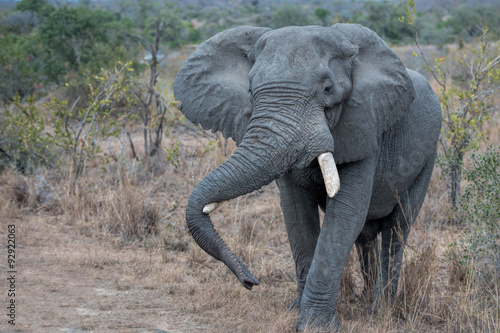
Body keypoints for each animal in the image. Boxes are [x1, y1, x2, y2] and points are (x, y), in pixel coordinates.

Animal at [173, 24, 442, 330]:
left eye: (328, 89)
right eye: (251, 91)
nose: (251, 282)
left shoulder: (364, 126)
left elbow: (346, 214)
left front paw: (315, 325)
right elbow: (296, 214)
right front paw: (295, 311)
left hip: (428, 158)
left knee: (397, 228)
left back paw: (380, 311)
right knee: (366, 235)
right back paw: (363, 302)